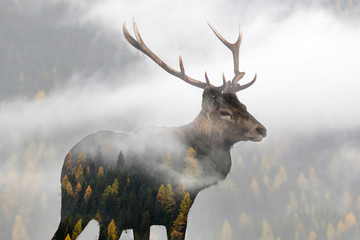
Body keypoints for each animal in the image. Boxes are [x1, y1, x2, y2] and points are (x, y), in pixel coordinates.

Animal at [51, 21, 264, 240]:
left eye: (244, 105)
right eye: (224, 112)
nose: (261, 129)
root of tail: (67, 157)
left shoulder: (166, 216)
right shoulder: (133, 215)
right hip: (84, 209)